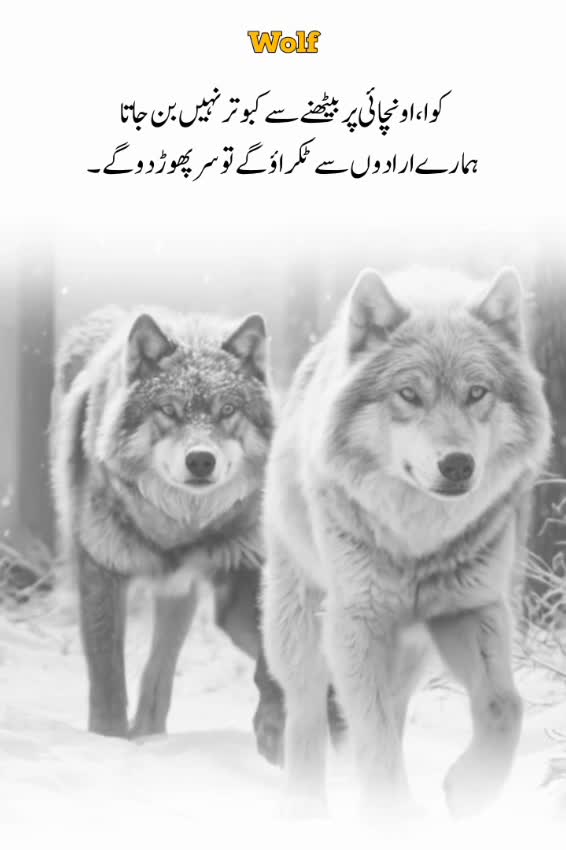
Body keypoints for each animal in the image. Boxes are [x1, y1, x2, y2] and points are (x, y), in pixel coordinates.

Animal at [50, 305, 283, 750]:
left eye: (227, 411)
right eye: (170, 410)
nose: (201, 460)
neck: (181, 527)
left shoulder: (245, 574)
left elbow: (275, 660)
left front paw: (276, 734)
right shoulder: (101, 573)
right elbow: (108, 682)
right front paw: (110, 742)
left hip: (196, 601)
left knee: (160, 670)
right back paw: (145, 738)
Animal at [262, 266, 552, 818]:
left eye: (477, 392)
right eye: (409, 395)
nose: (457, 464)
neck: (418, 541)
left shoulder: (471, 608)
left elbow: (505, 706)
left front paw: (471, 789)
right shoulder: (357, 621)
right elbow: (371, 735)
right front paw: (391, 819)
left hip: (415, 648)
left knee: (393, 711)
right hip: (302, 626)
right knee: (306, 712)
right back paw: (305, 810)